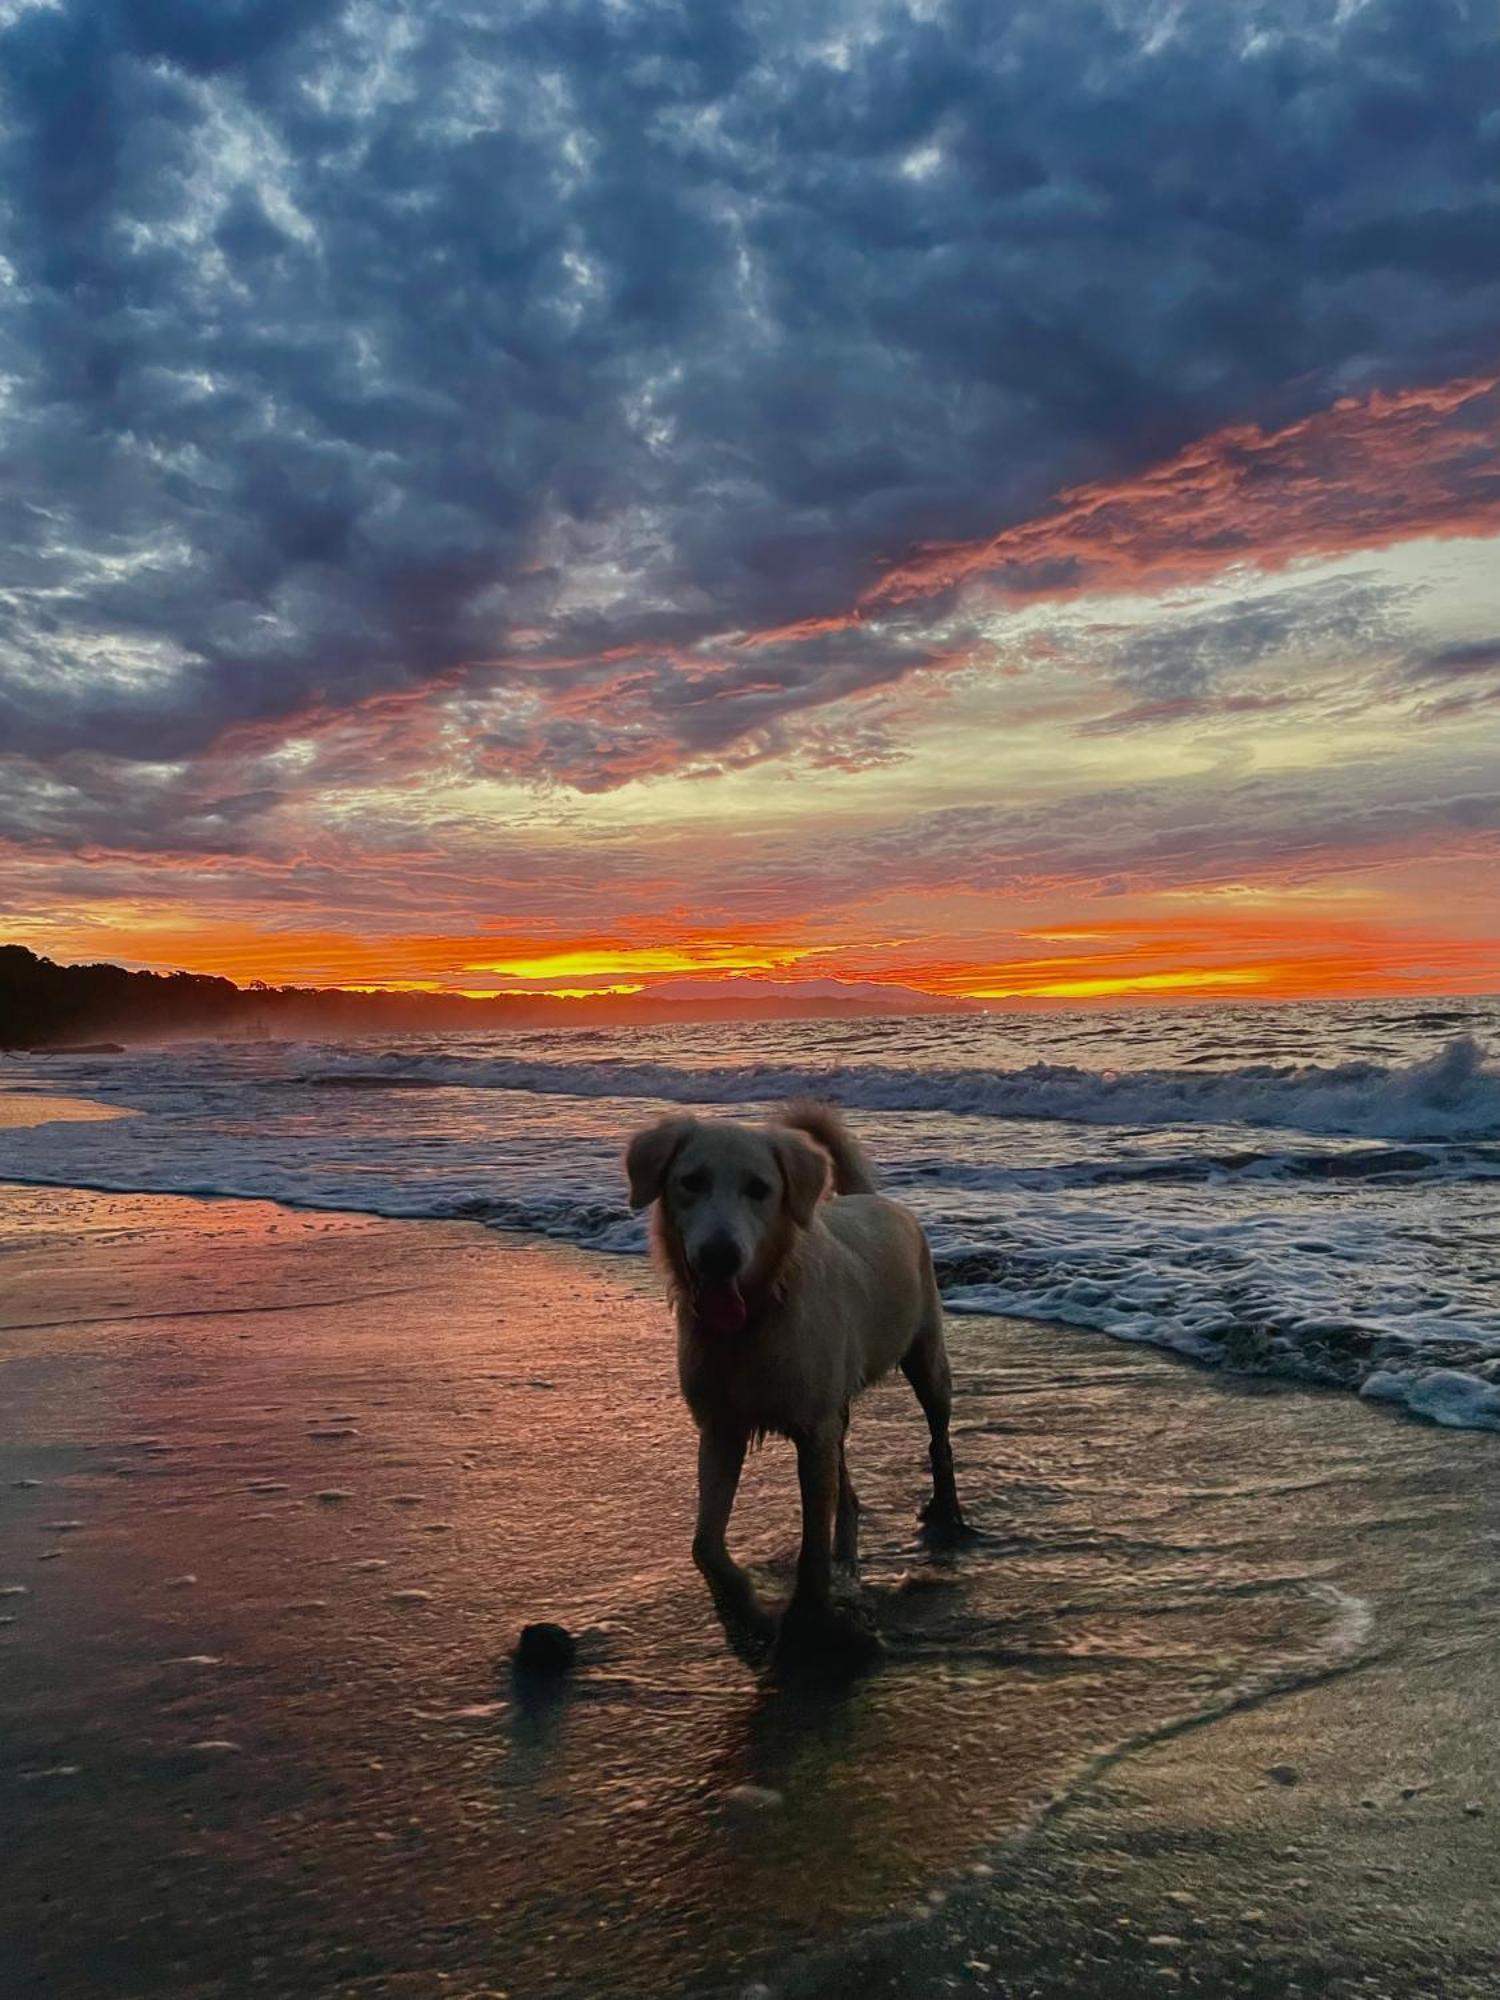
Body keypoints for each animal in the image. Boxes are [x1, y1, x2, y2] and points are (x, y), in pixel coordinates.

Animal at [628, 1104, 968, 1648]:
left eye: (760, 1189)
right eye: (691, 1182)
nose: (719, 1256)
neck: (756, 1316)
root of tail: (872, 1198)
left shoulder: (812, 1430)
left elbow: (811, 1549)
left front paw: (809, 1617)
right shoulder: (721, 1428)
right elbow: (706, 1544)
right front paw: (751, 1612)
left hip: (926, 1356)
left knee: (939, 1437)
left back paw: (946, 1512)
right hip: (838, 1405)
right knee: (845, 1479)